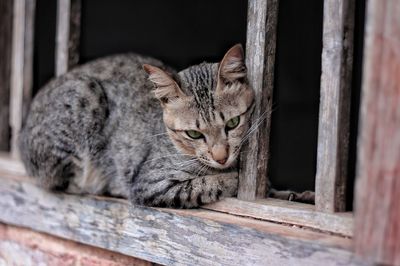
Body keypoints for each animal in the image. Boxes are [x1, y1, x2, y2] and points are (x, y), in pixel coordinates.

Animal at [18, 44, 314, 208]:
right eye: (194, 133)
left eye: (233, 123)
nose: (221, 156)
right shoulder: (152, 184)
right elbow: (208, 183)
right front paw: (235, 179)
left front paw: (293, 194)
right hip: (84, 95)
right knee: (63, 183)